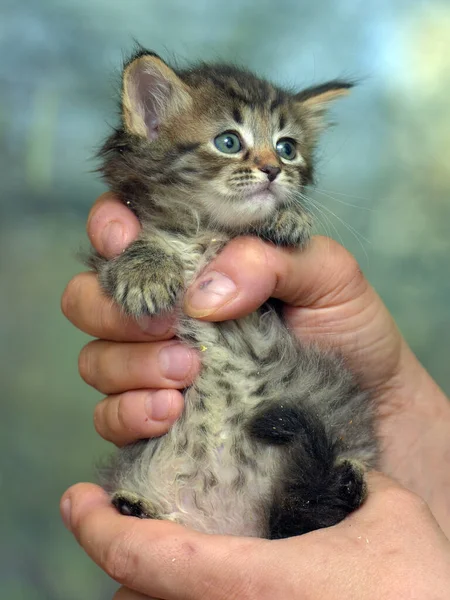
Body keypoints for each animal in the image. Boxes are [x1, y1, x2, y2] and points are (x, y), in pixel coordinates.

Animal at [90, 50, 376, 540]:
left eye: (287, 147)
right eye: (228, 142)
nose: (272, 170)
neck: (207, 231)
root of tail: (231, 524)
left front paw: (286, 219)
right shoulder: (108, 244)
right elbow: (132, 250)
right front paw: (146, 271)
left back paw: (346, 480)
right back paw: (136, 504)